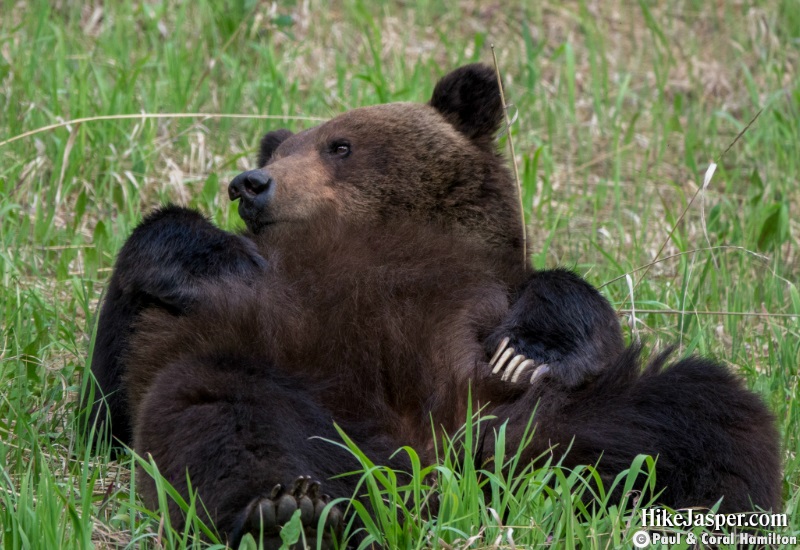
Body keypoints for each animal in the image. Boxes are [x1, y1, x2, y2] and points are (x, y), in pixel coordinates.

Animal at [87, 64, 780, 548]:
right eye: (278, 152)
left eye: (339, 144)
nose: (251, 183)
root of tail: (424, 463)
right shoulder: (209, 319)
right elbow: (108, 400)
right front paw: (218, 256)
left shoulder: (485, 281)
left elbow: (568, 302)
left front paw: (527, 349)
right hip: (295, 395)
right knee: (216, 416)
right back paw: (282, 511)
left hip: (540, 422)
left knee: (700, 412)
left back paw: (716, 510)